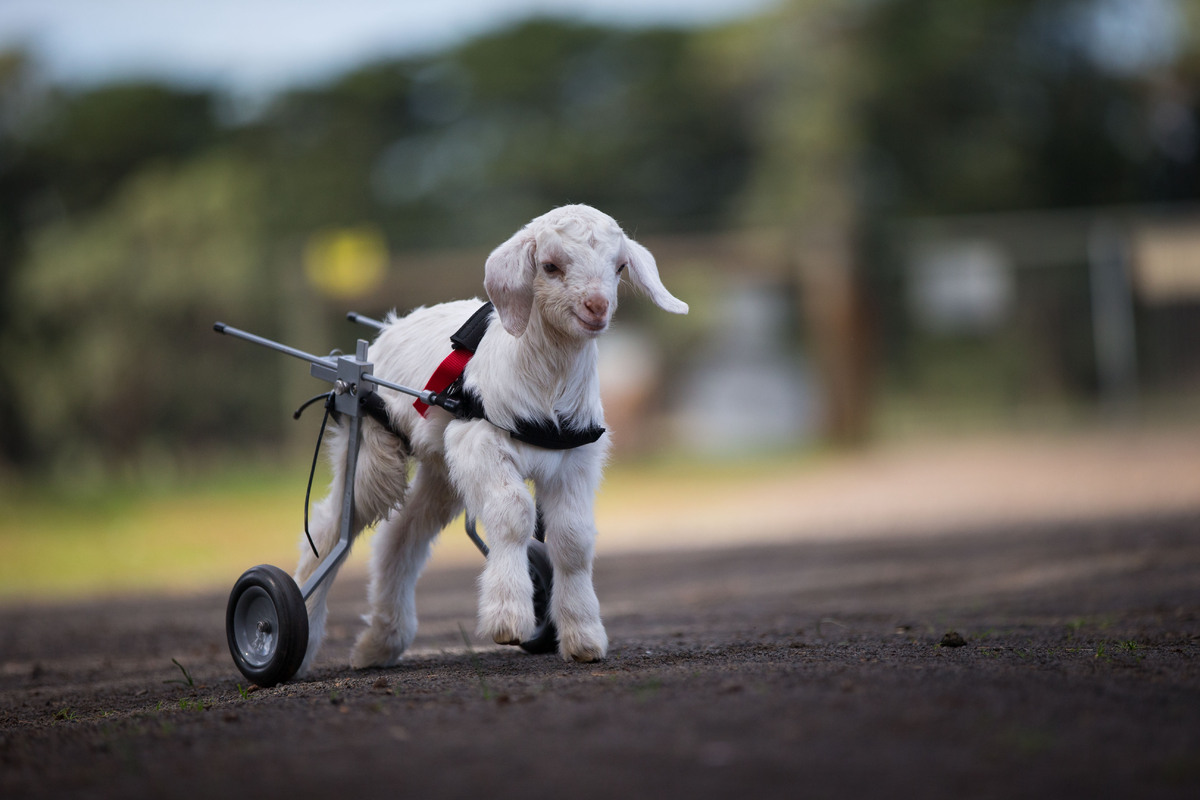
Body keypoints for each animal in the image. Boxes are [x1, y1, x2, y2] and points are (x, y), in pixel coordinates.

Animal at [293, 204, 688, 672]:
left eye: (620, 267)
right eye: (550, 266)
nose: (597, 306)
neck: (545, 381)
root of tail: (387, 330)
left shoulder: (576, 459)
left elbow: (573, 538)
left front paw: (583, 636)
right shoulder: (481, 443)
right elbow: (513, 514)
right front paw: (508, 618)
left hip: (441, 467)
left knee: (401, 535)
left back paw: (380, 644)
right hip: (373, 442)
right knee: (331, 525)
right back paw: (299, 639)